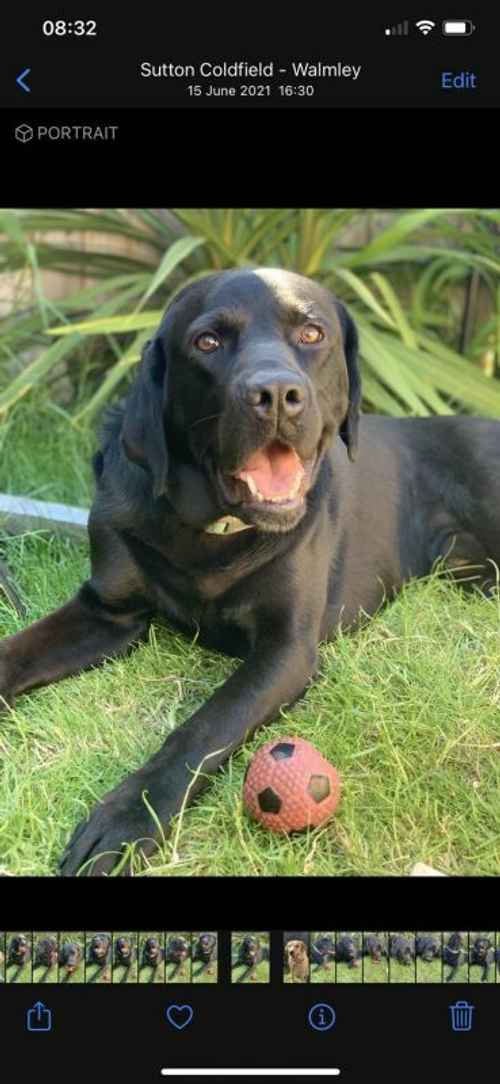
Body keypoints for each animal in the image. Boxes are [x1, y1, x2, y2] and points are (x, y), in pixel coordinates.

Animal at [3, 268, 498, 871]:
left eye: (311, 333)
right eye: (207, 341)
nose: (277, 395)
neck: (211, 530)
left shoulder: (286, 650)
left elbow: (205, 725)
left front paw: (126, 817)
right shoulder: (107, 611)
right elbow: (17, 651)